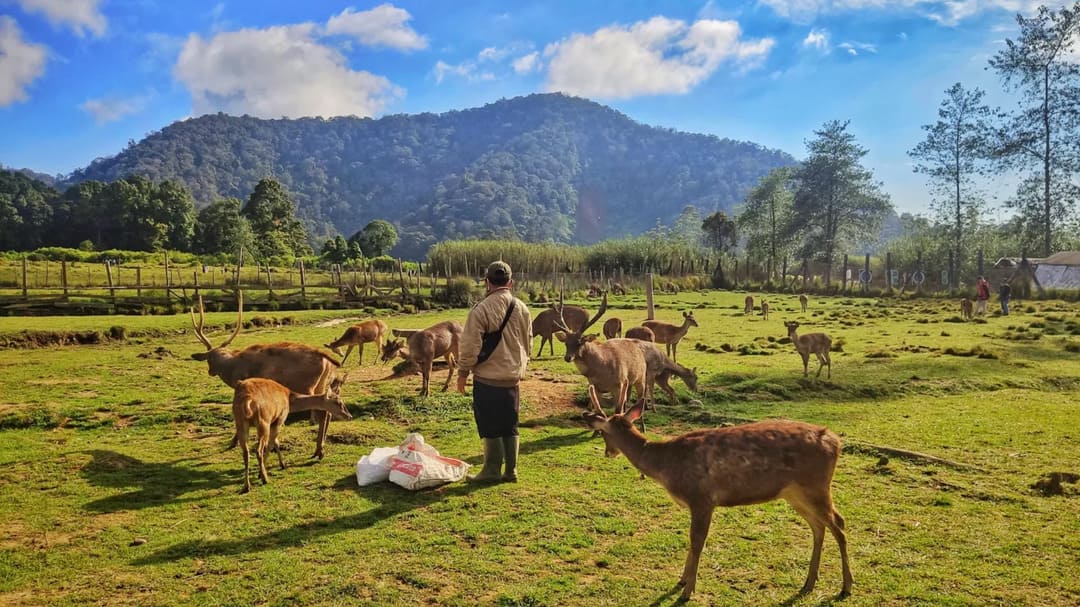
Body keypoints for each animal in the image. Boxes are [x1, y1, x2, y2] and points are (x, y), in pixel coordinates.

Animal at [189, 293, 341, 457]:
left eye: (209, 359)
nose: (210, 372)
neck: (233, 370)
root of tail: (326, 357)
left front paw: (233, 442)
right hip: (322, 384)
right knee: (328, 411)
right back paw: (321, 447)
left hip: (307, 387)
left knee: (322, 412)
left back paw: (319, 450)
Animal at [587, 401, 855, 600]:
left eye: (602, 432)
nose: (608, 452)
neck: (665, 466)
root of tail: (835, 441)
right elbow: (692, 541)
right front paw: (682, 580)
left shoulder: (702, 497)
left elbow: (697, 541)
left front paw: (687, 590)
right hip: (795, 493)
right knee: (819, 526)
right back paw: (809, 582)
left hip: (815, 486)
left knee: (839, 524)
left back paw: (846, 586)